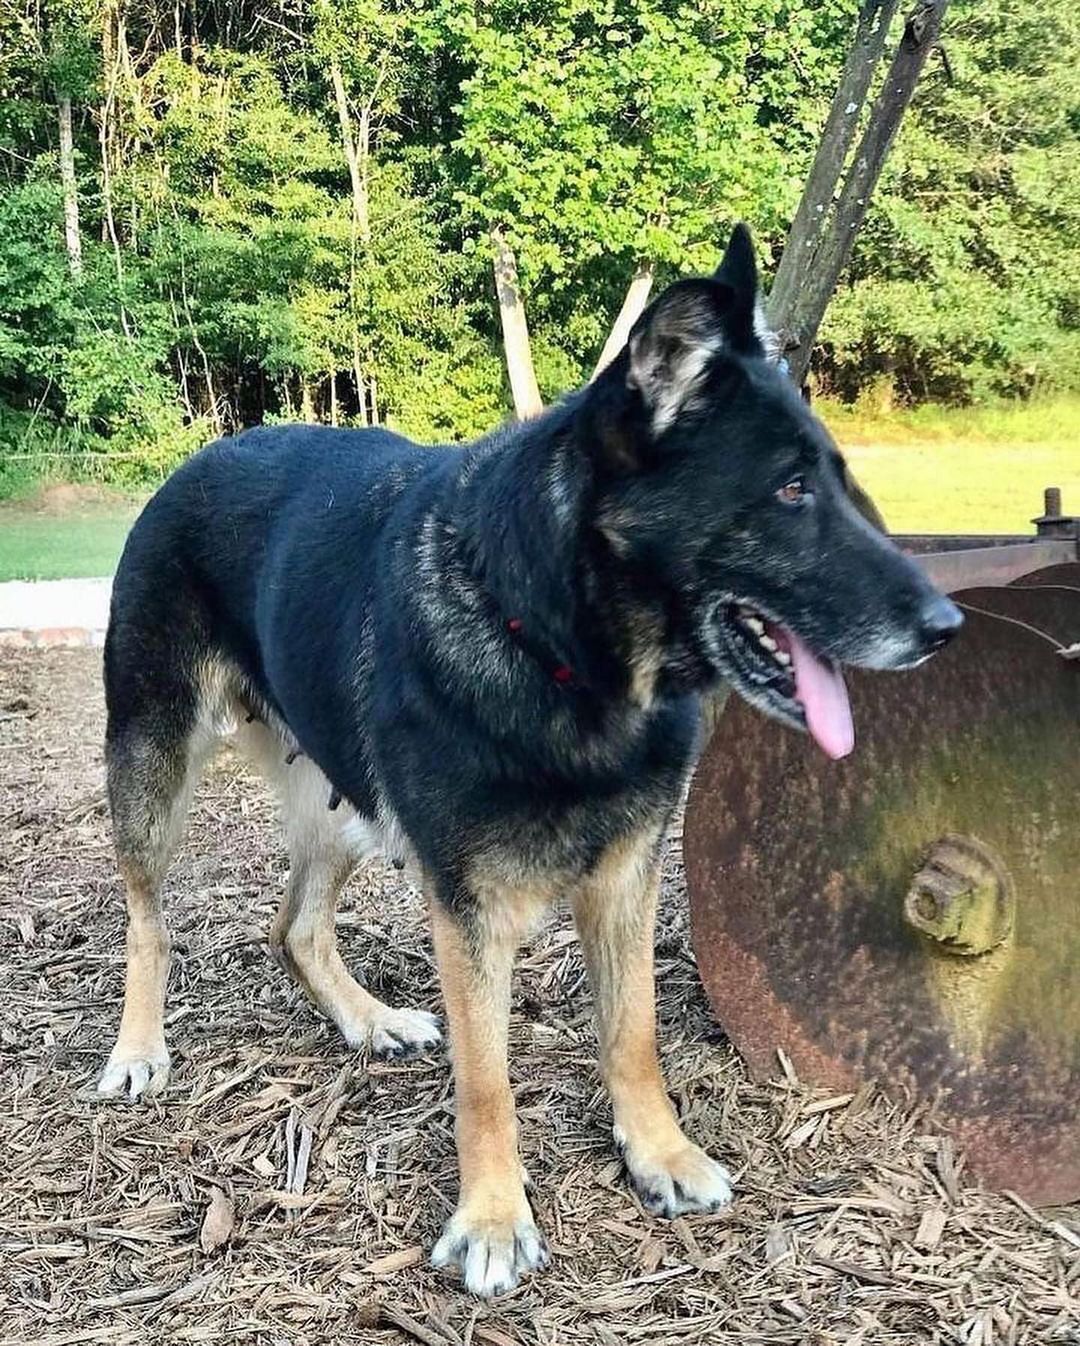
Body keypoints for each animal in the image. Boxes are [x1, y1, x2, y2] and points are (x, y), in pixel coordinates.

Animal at [98, 226, 958, 1297]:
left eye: (838, 480)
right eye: (791, 491)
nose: (948, 628)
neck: (561, 650)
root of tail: (203, 454)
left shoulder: (627, 875)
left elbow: (633, 1032)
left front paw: (658, 1153)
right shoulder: (469, 908)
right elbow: (487, 1078)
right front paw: (494, 1218)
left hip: (347, 807)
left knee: (293, 926)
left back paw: (368, 1020)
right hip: (156, 770)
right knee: (147, 918)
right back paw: (139, 1046)